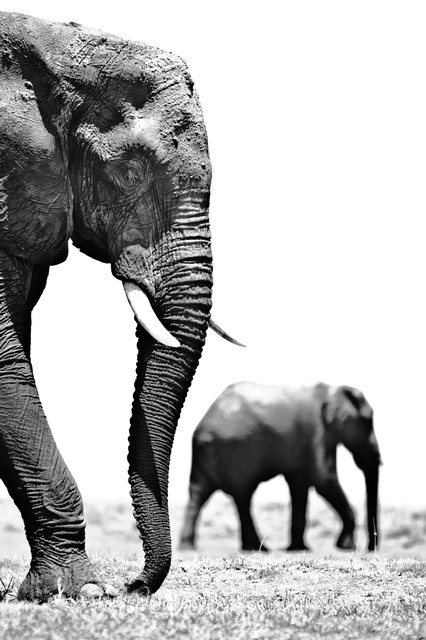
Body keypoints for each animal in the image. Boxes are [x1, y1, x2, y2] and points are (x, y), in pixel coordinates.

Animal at [179, 381, 381, 553]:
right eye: (368, 422)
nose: (371, 548)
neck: (334, 389)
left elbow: (300, 485)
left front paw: (299, 549)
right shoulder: (316, 429)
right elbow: (322, 479)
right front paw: (347, 547)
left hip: (208, 453)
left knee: (201, 493)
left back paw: (191, 547)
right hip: (232, 452)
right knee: (242, 495)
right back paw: (257, 549)